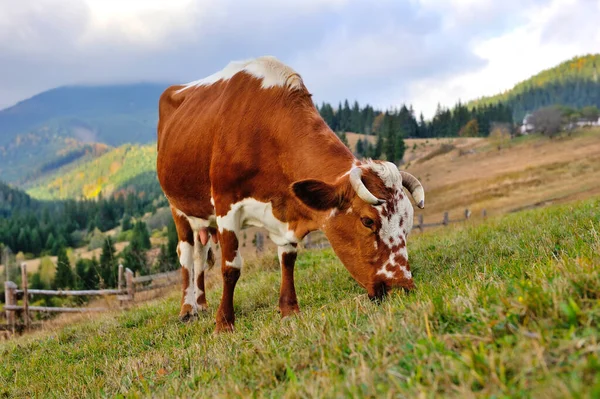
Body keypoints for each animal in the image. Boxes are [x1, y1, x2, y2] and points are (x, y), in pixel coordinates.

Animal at [157, 54, 424, 332]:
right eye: (367, 221)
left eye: (407, 225)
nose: (402, 287)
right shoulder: (225, 205)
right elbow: (231, 267)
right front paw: (224, 323)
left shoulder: (286, 211)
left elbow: (287, 258)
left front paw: (289, 309)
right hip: (178, 208)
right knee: (187, 253)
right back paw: (188, 309)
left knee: (201, 253)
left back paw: (201, 303)